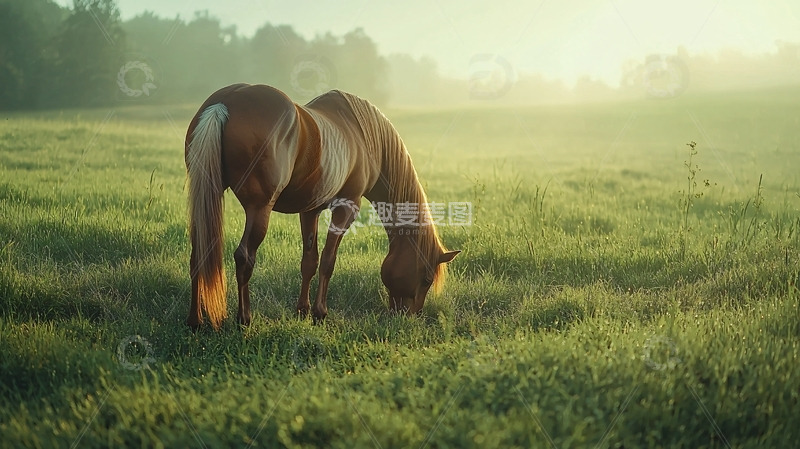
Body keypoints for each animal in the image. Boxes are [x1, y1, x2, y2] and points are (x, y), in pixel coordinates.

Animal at [185, 84, 460, 330]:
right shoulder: (346, 209)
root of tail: (226, 101)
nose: (410, 315)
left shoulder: (310, 210)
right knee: (244, 256)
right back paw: (244, 319)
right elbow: (328, 261)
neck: (364, 137)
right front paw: (319, 313)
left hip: (204, 201)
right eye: (426, 278)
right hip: (259, 209)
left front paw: (302, 311)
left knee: (198, 255)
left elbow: (309, 262)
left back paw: (195, 321)